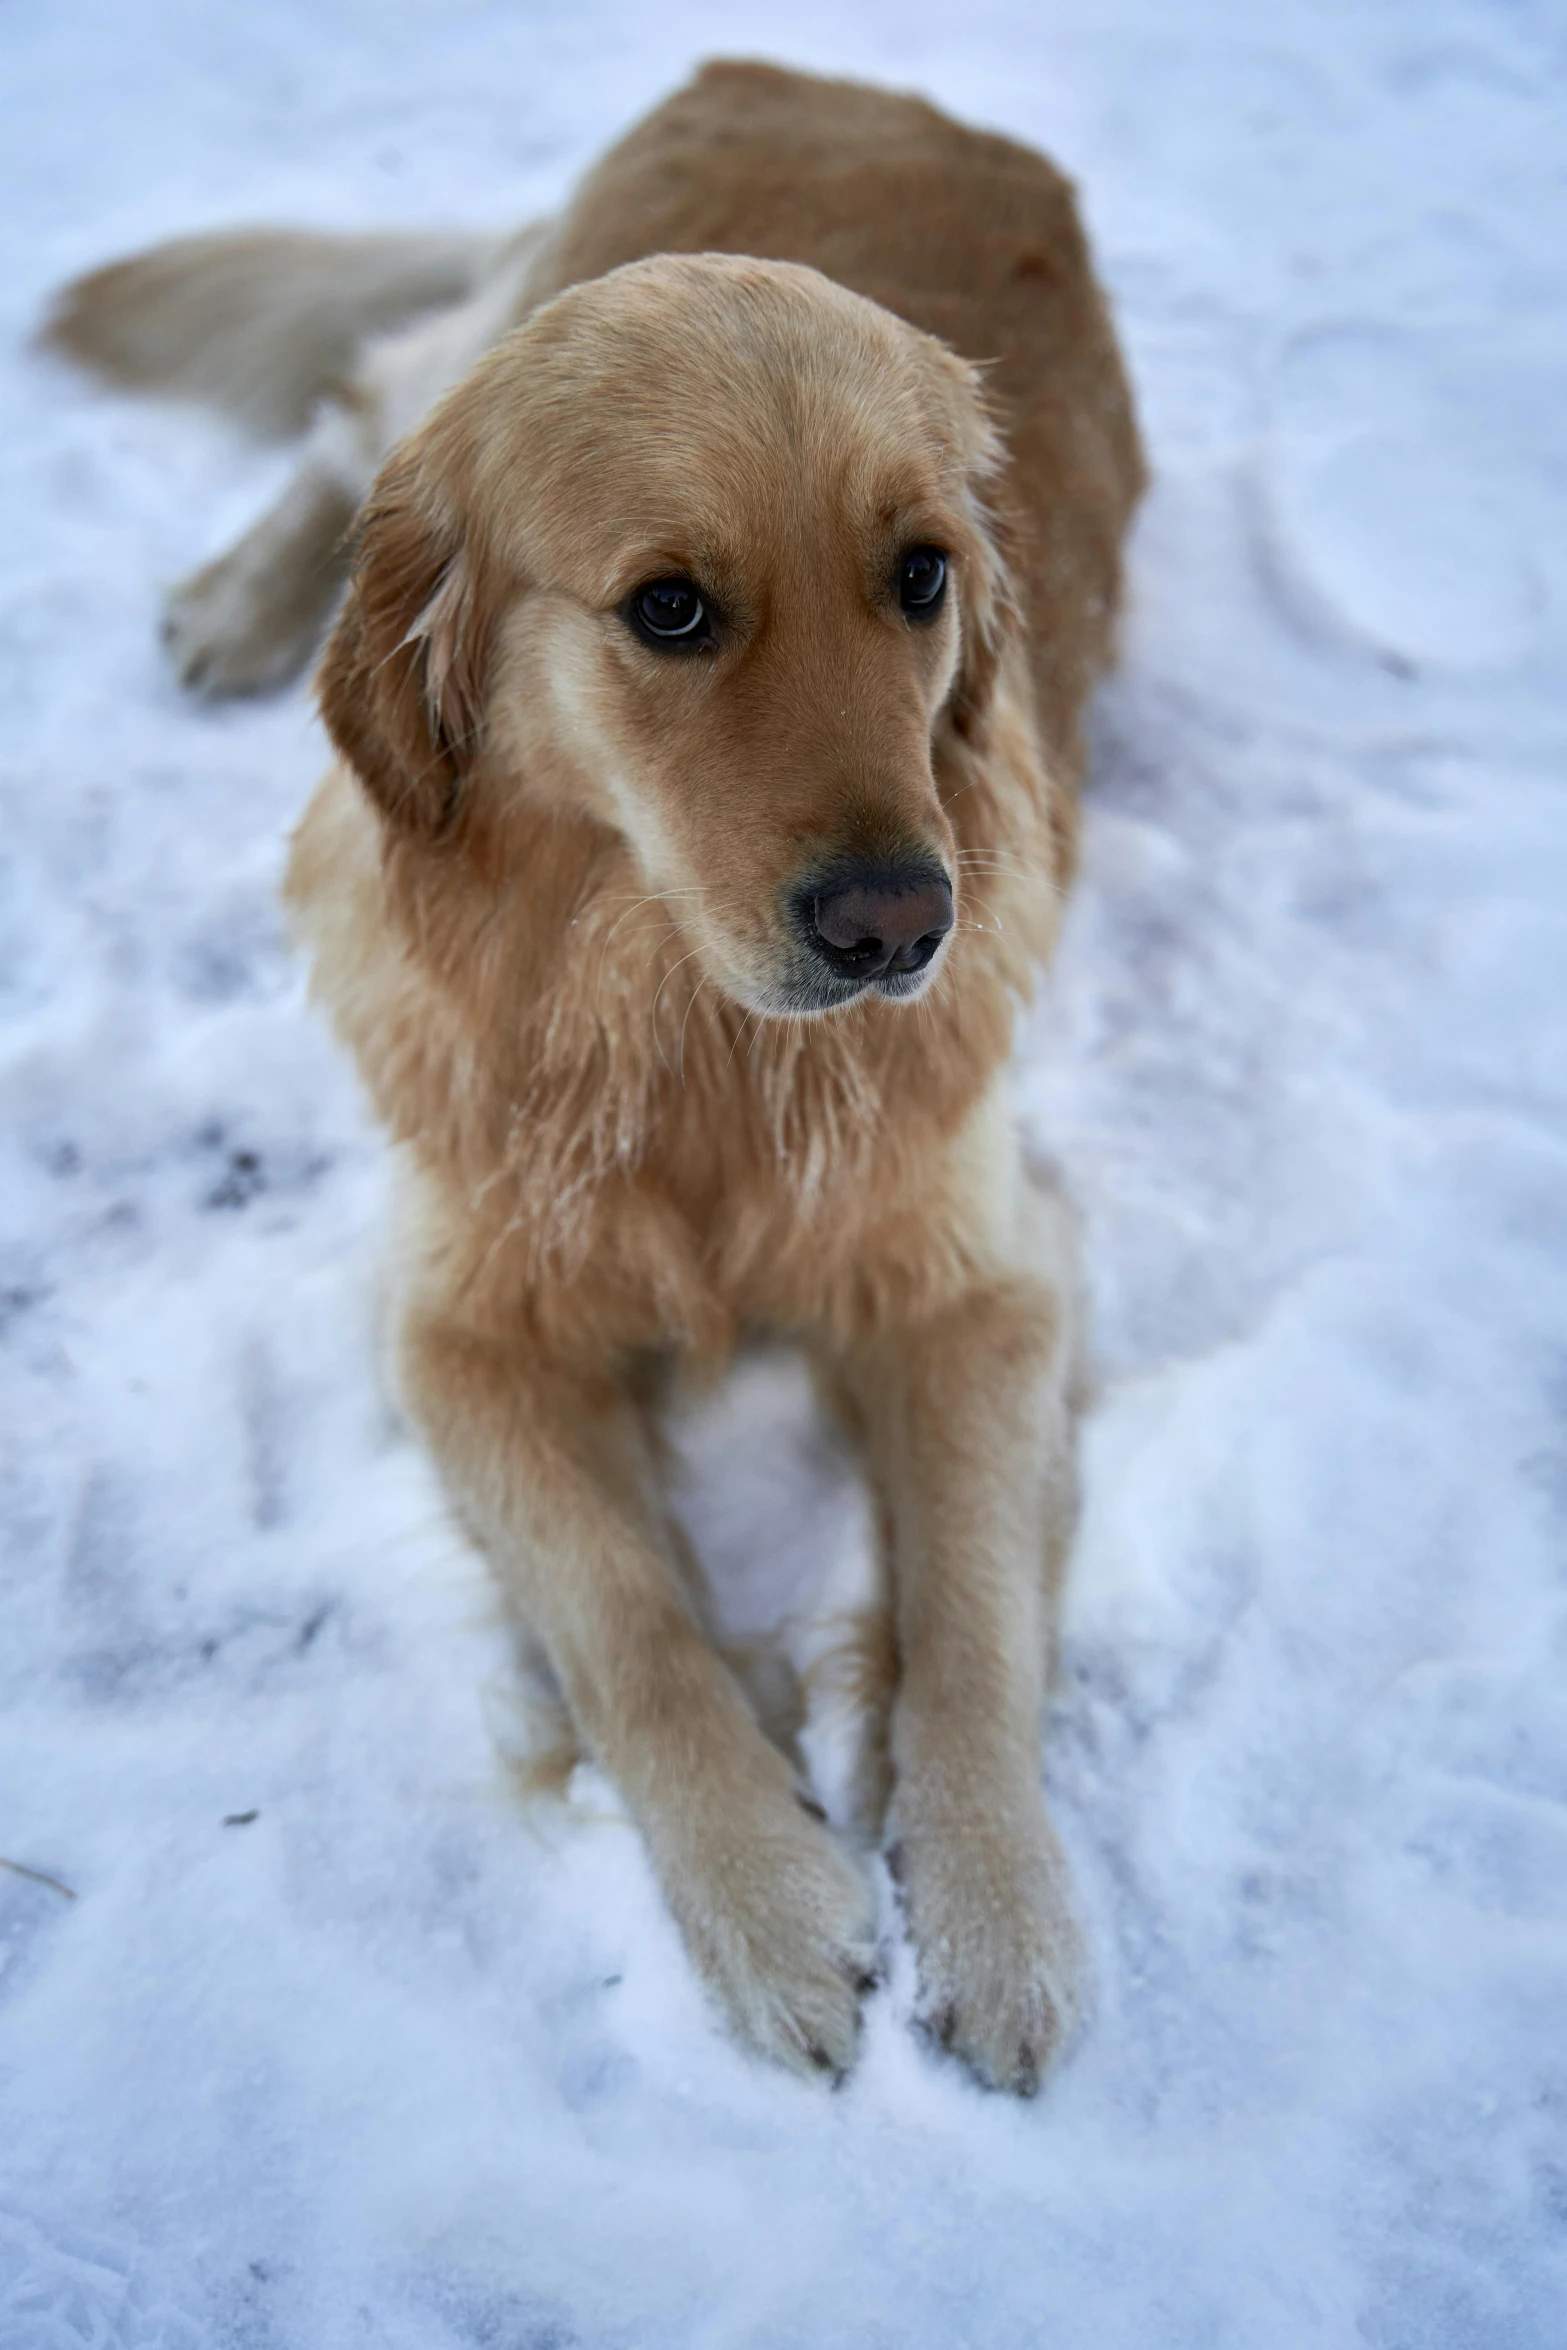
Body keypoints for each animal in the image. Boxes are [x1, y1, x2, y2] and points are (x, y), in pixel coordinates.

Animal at [46, 59, 1141, 2096]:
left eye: (922, 576)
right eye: (669, 610)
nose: (898, 924)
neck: (682, 1038)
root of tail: (846, 78)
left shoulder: (978, 1279)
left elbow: (967, 1615)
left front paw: (998, 1911)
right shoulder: (462, 1323)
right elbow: (624, 1618)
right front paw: (770, 1909)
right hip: (455, 348)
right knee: (354, 406)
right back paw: (240, 601)